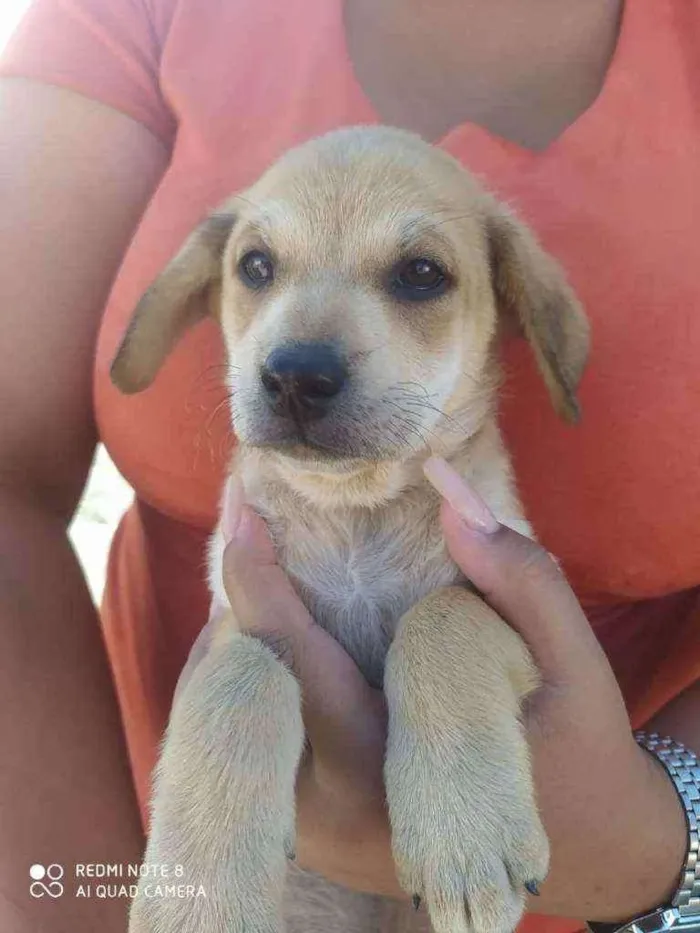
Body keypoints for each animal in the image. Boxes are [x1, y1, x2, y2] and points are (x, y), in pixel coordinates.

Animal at [110, 127, 592, 932]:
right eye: (255, 266)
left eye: (422, 274)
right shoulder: (229, 623)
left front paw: (466, 829)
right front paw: (205, 892)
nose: (295, 377)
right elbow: (243, 675)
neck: (353, 517)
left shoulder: (516, 606)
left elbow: (441, 617)